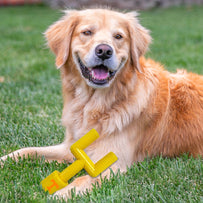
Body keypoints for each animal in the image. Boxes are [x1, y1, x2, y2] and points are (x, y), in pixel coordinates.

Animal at [0, 8, 203, 199]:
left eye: (118, 36)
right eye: (87, 32)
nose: (104, 51)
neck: (93, 104)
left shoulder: (113, 164)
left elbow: (82, 180)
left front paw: (59, 194)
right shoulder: (71, 148)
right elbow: (26, 151)